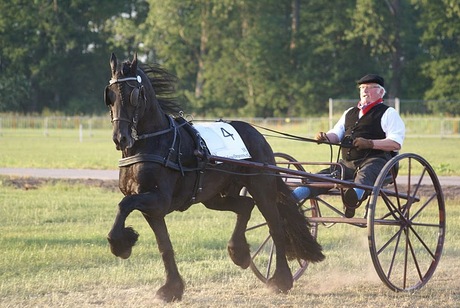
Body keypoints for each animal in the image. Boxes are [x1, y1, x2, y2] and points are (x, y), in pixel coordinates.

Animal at [106, 53, 326, 300]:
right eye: (110, 95)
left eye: (133, 94)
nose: (120, 138)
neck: (156, 142)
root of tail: (257, 134)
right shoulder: (153, 209)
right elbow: (164, 244)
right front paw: (172, 288)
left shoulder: (158, 200)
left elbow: (124, 204)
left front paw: (121, 244)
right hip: (215, 196)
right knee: (245, 206)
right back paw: (239, 252)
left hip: (261, 187)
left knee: (275, 226)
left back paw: (281, 279)